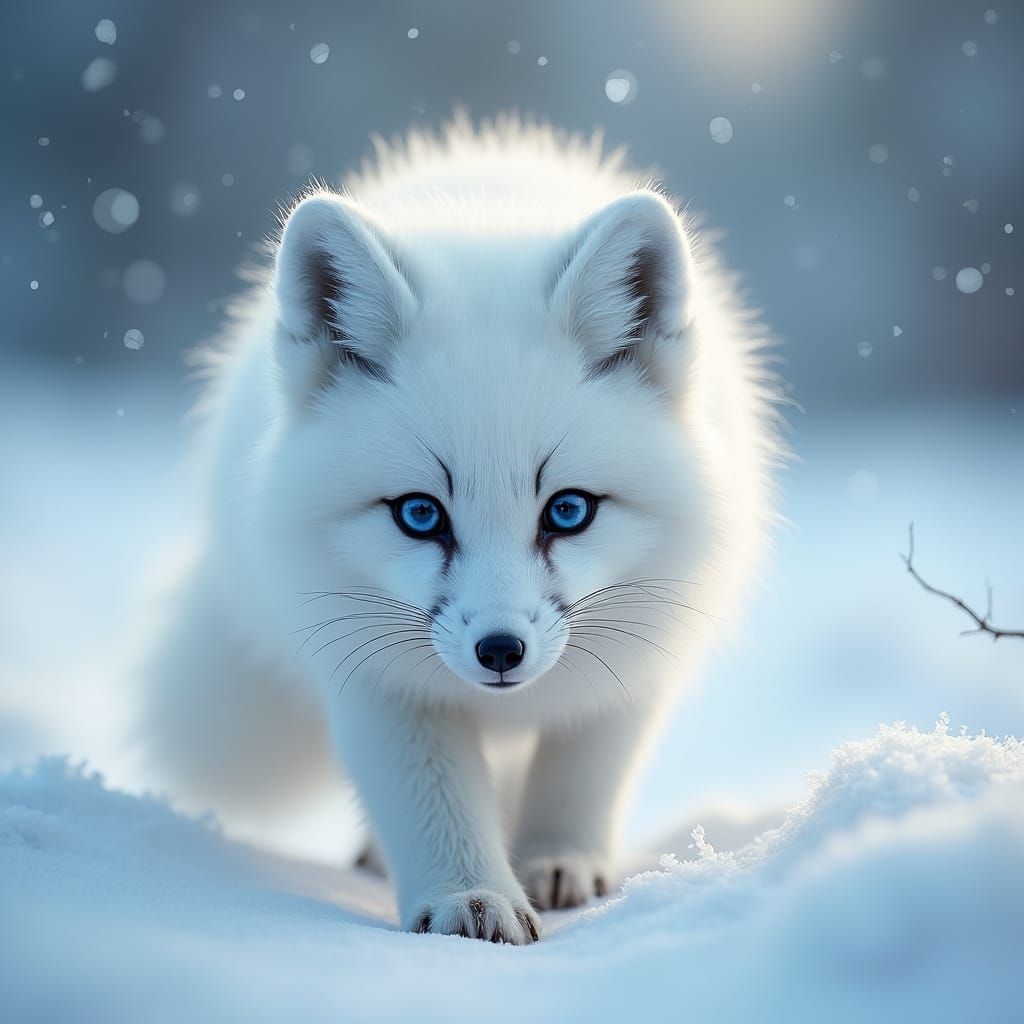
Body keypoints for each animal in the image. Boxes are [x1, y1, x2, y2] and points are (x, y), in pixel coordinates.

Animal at [142, 116, 780, 944]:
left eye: (568, 510)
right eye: (420, 514)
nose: (500, 651)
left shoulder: (633, 661)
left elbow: (580, 778)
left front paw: (559, 862)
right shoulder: (374, 678)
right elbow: (431, 799)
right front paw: (470, 897)